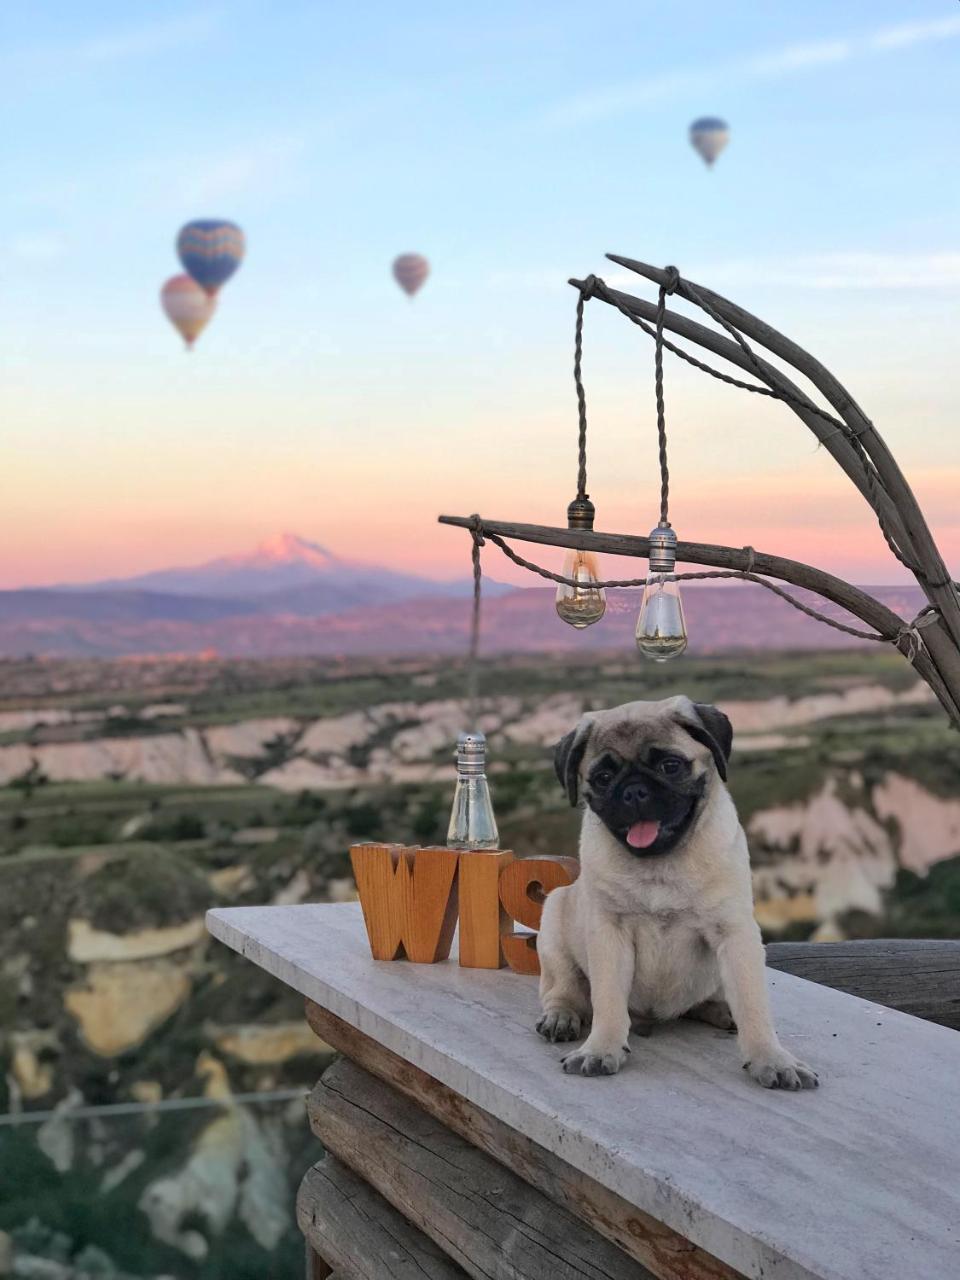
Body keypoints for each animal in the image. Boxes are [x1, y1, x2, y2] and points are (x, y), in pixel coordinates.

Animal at [537, 701, 824, 1090]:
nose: (634, 791)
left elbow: (753, 1003)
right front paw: (600, 1049)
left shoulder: (736, 935)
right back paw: (561, 1017)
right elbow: (608, 1000)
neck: (661, 863)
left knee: (712, 1000)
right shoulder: (609, 936)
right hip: (554, 920)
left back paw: (722, 1011)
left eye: (670, 766)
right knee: (565, 988)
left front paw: (771, 1058)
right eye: (603, 778)